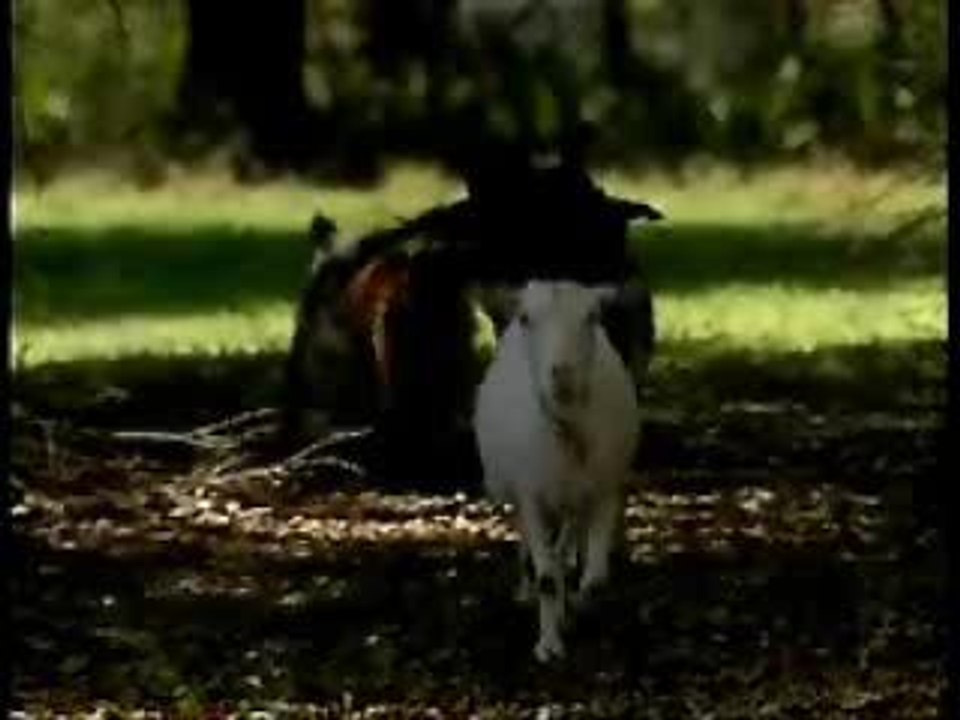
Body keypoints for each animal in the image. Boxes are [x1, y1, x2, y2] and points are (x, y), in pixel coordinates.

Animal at [473, 280, 641, 662]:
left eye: (593, 316)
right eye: (525, 318)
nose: (563, 373)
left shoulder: (603, 489)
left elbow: (595, 581)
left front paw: (577, 607)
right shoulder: (529, 495)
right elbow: (546, 577)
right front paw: (548, 645)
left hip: (575, 495)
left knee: (564, 546)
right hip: (518, 491)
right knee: (531, 548)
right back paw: (526, 590)